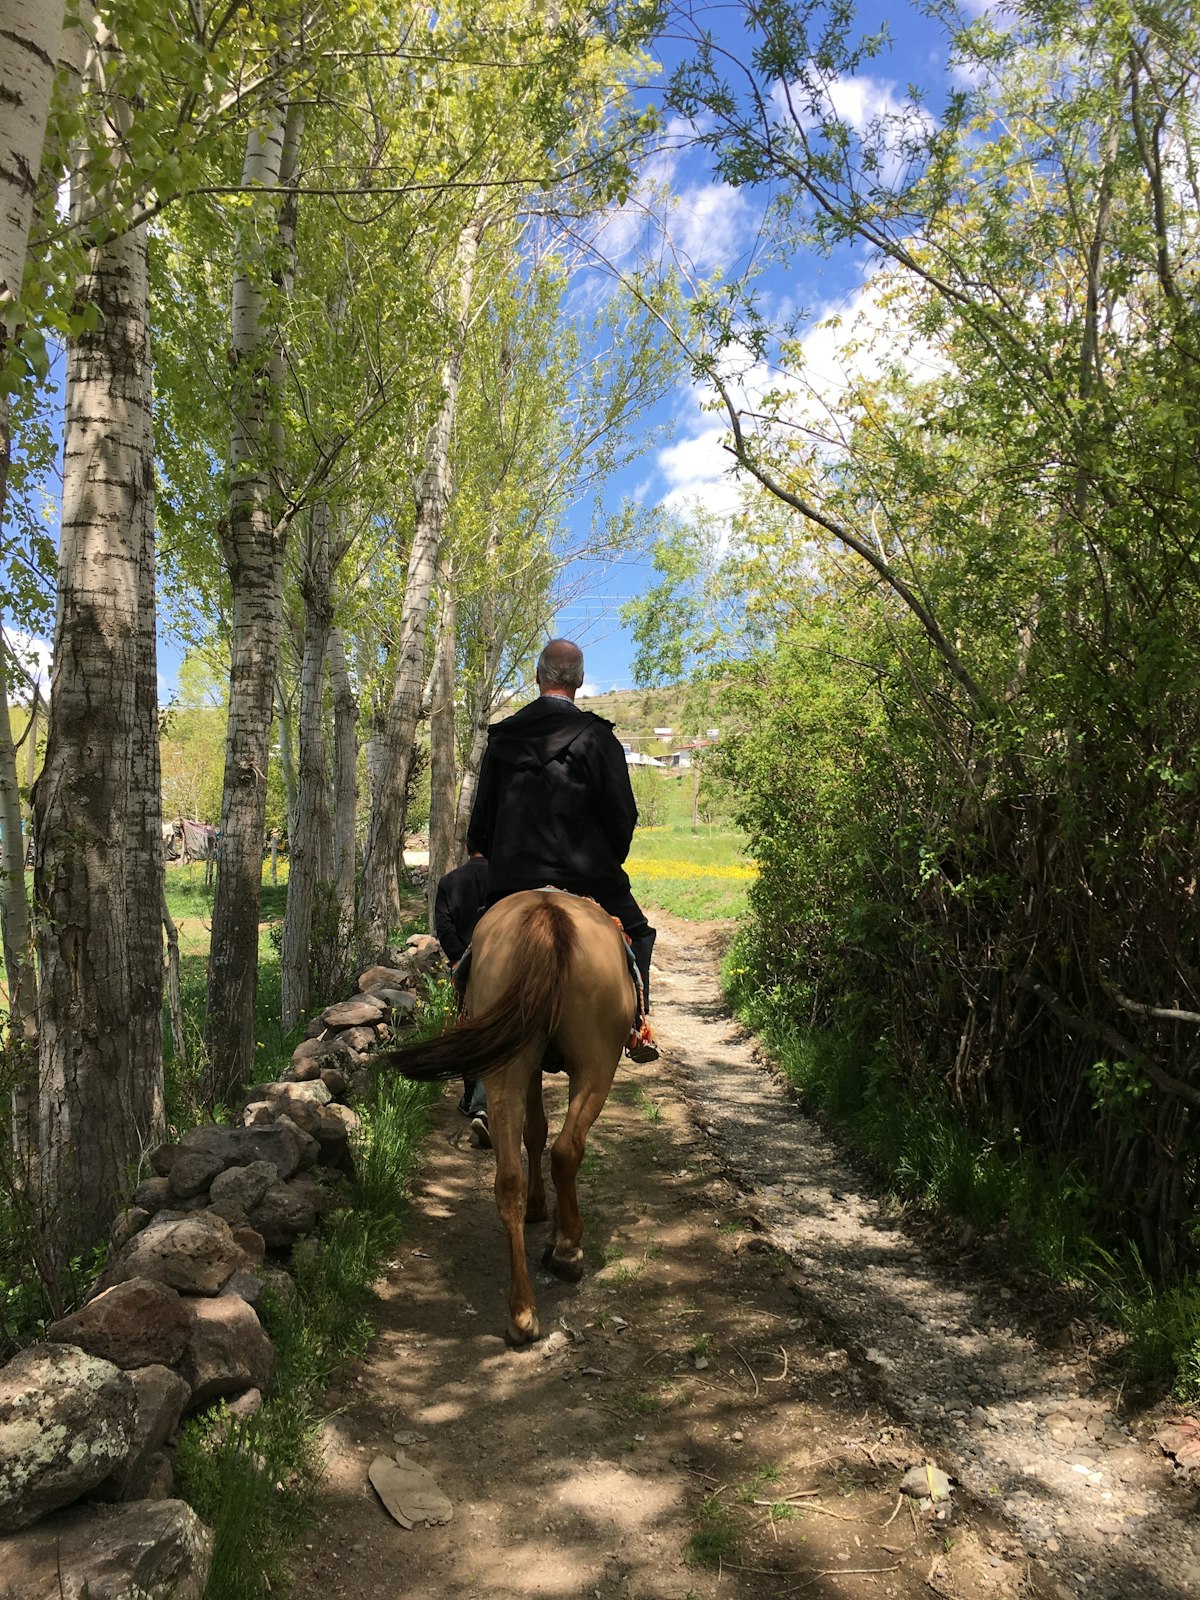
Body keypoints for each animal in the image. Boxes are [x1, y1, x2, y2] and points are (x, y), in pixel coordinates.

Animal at [395, 896, 640, 1344]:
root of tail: (548, 912)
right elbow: (543, 1135)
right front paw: (552, 1224)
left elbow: (534, 1131)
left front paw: (540, 1210)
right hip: (597, 1064)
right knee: (567, 1151)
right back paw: (567, 1250)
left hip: (508, 1063)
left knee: (509, 1177)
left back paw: (522, 1313)